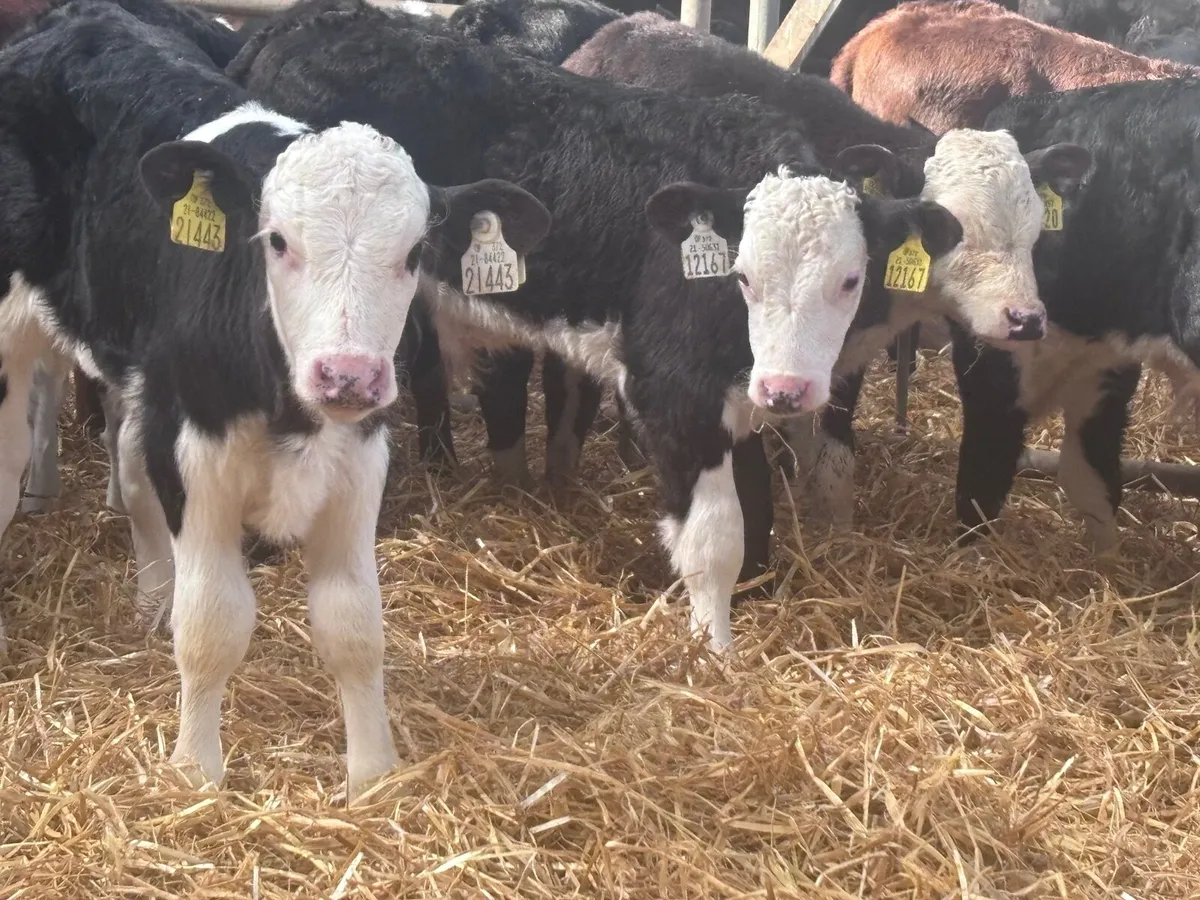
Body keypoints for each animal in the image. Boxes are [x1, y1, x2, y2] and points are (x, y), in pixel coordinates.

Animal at [0, 0, 549, 797]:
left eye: (416, 252)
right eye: (278, 241)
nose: (347, 374)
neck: (291, 408)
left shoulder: (359, 457)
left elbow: (354, 625)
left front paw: (372, 776)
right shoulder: (195, 453)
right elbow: (212, 624)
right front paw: (195, 774)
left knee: (129, 473)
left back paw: (151, 598)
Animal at [227, 0, 973, 651]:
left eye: (850, 279)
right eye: (744, 276)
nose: (789, 389)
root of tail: (310, 21)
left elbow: (761, 500)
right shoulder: (672, 390)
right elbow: (714, 536)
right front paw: (715, 649)